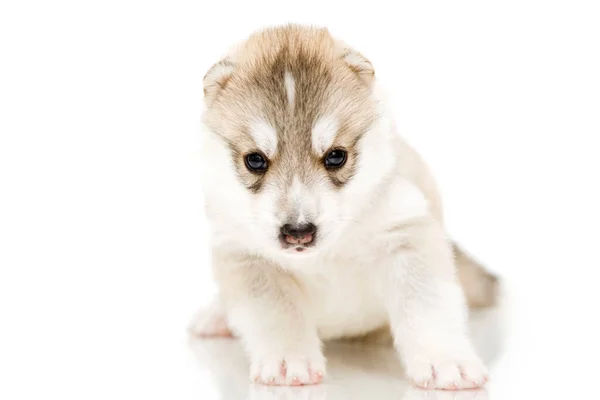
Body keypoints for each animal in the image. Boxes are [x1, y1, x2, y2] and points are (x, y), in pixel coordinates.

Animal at [192, 23, 496, 390]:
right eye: (255, 160)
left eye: (336, 156)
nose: (298, 233)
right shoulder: (245, 256)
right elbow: (276, 313)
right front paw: (289, 361)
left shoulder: (407, 233)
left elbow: (426, 306)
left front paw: (446, 362)